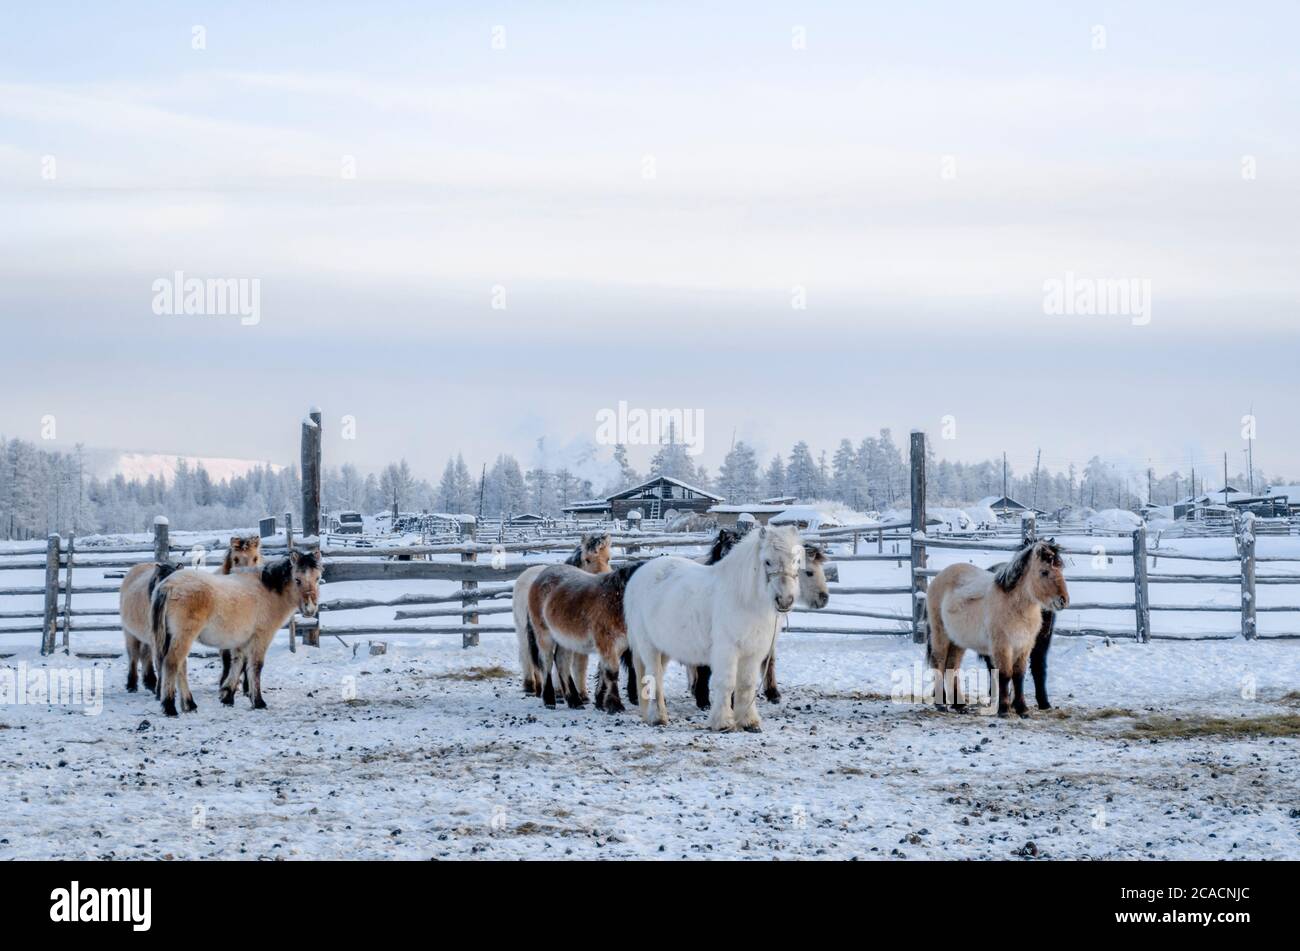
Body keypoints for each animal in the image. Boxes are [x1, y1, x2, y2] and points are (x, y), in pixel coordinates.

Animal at [150, 550, 321, 716]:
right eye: (297, 579)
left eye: (318, 578)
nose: (310, 609)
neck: (268, 591)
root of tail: (168, 585)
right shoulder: (261, 637)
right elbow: (255, 666)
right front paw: (258, 702)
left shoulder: (242, 641)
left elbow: (238, 664)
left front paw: (227, 696)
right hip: (184, 636)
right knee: (172, 663)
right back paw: (170, 707)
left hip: (174, 637)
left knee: (181, 666)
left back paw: (189, 704)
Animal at [512, 533, 611, 698]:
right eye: (587, 559)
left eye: (608, 558)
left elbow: (579, 665)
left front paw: (581, 693)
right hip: (524, 630)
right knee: (528, 654)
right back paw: (532, 685)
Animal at [526, 561, 645, 712]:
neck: (614, 600)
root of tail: (540, 576)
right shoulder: (607, 642)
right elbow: (611, 672)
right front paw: (615, 705)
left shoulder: (619, 645)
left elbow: (603, 671)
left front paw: (601, 702)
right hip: (544, 635)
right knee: (546, 662)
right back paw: (550, 700)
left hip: (566, 639)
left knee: (562, 661)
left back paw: (575, 701)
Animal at [624, 524, 804, 732]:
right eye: (767, 561)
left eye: (796, 561)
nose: (785, 600)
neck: (743, 598)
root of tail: (638, 575)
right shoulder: (726, 650)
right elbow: (726, 684)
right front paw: (723, 722)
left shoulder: (753, 652)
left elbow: (747, 685)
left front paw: (749, 721)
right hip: (648, 646)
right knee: (654, 678)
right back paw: (658, 718)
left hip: (664, 648)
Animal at [925, 539, 1067, 717]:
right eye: (1044, 572)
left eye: (1060, 568)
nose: (1063, 600)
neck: (1015, 606)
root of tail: (938, 578)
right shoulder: (1002, 646)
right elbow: (1005, 675)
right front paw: (1004, 709)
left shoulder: (1025, 646)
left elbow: (1018, 676)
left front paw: (1022, 709)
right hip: (940, 634)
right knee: (938, 663)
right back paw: (940, 704)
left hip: (957, 641)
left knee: (952, 666)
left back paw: (960, 705)